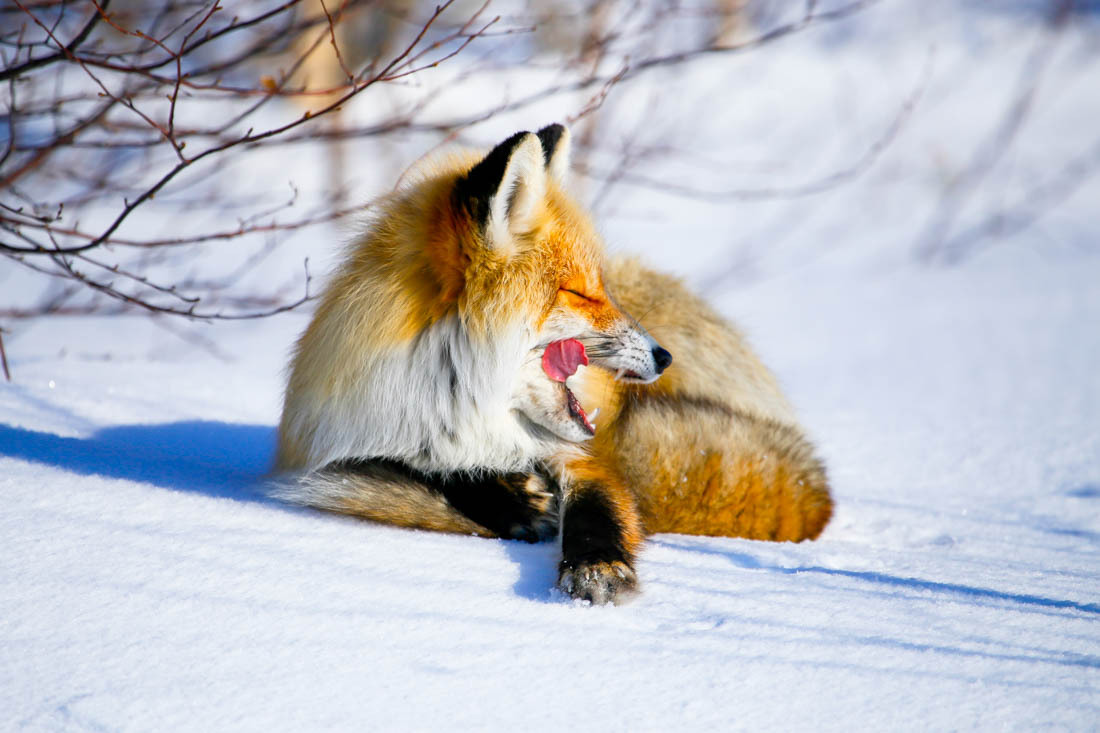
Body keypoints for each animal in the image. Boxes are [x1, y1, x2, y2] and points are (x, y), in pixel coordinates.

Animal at [270, 124, 827, 598]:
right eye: (581, 294)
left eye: (603, 290)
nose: (663, 356)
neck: (463, 406)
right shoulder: (354, 434)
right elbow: (415, 465)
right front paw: (506, 497)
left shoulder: (583, 456)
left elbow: (599, 509)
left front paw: (597, 566)